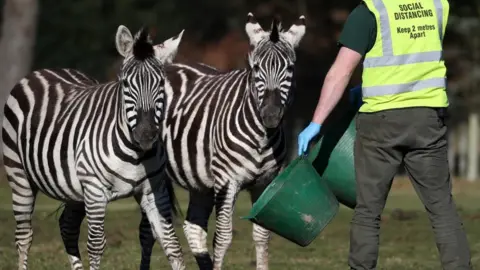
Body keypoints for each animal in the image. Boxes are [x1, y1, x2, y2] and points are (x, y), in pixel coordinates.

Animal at [3, 25, 188, 270]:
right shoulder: (95, 190)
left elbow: (171, 244)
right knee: (24, 236)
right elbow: (96, 245)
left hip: (73, 189)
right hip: (19, 175)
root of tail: (41, 71)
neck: (135, 155)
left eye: (160, 84)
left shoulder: (153, 190)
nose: (146, 135)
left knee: (67, 226)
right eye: (125, 84)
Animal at [137, 12, 306, 270]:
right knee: (148, 233)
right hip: (154, 177)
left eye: (290, 67)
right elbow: (223, 237)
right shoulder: (227, 181)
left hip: (199, 182)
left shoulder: (265, 182)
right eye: (255, 67)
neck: (262, 138)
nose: (270, 115)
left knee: (193, 228)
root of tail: (171, 65)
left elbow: (262, 235)